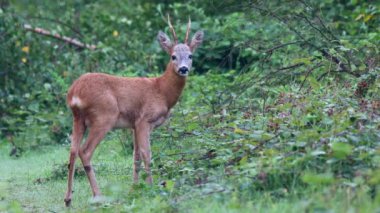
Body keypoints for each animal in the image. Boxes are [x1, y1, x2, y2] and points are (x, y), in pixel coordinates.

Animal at [63, 17, 203, 206]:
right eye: (173, 56)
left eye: (190, 56)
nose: (183, 69)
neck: (161, 91)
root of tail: (75, 92)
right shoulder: (144, 120)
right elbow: (146, 154)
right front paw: (151, 188)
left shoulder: (133, 124)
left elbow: (135, 156)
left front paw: (134, 189)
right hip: (104, 116)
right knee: (84, 151)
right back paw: (98, 196)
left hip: (77, 118)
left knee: (72, 150)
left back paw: (68, 199)